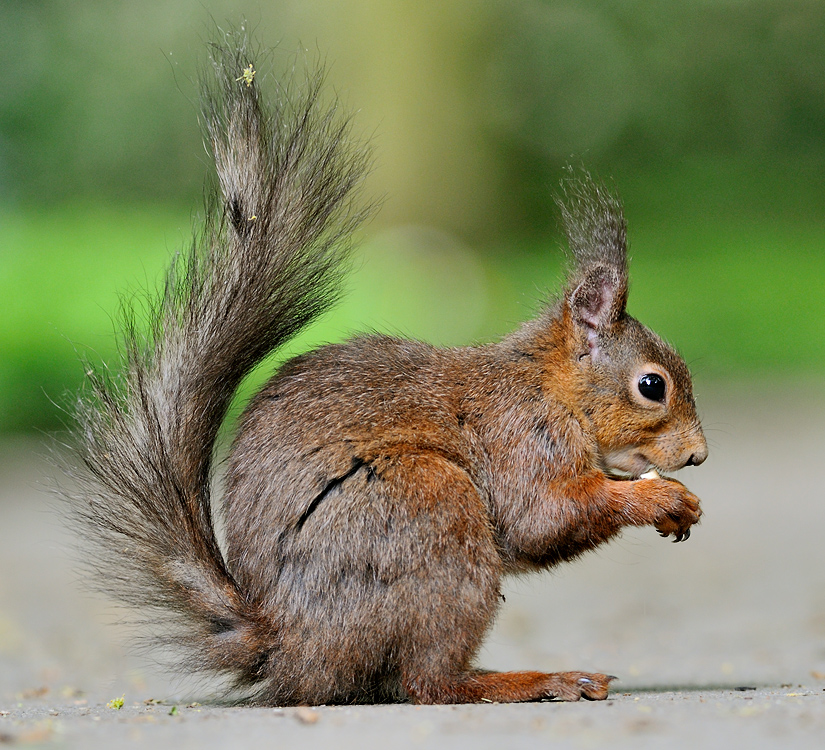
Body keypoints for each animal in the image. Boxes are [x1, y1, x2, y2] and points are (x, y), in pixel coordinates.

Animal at [64, 30, 704, 712]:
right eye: (652, 386)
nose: (698, 456)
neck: (550, 386)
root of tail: (289, 648)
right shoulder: (520, 437)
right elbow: (543, 518)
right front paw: (662, 498)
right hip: (430, 509)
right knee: (428, 684)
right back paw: (532, 681)